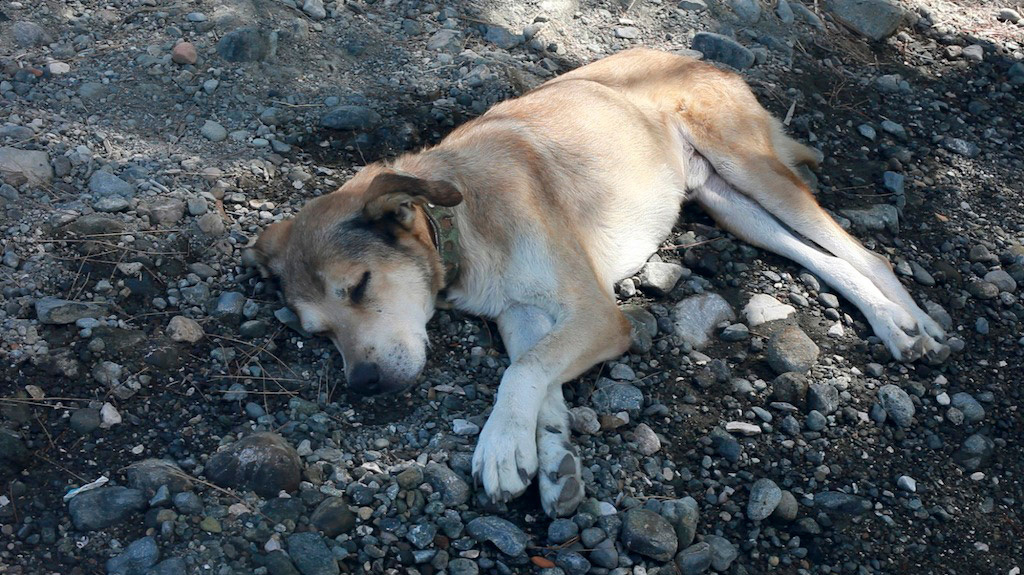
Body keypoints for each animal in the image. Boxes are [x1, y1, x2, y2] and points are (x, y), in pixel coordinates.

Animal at [244, 48, 949, 517]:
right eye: (318, 333)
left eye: (360, 285)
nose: (362, 385)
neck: (462, 224)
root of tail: (696, 56)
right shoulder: (526, 315)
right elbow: (536, 370)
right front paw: (548, 455)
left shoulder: (597, 314)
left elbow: (522, 371)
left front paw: (500, 448)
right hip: (731, 206)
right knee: (821, 259)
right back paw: (894, 325)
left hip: (751, 168)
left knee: (866, 253)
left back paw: (914, 324)